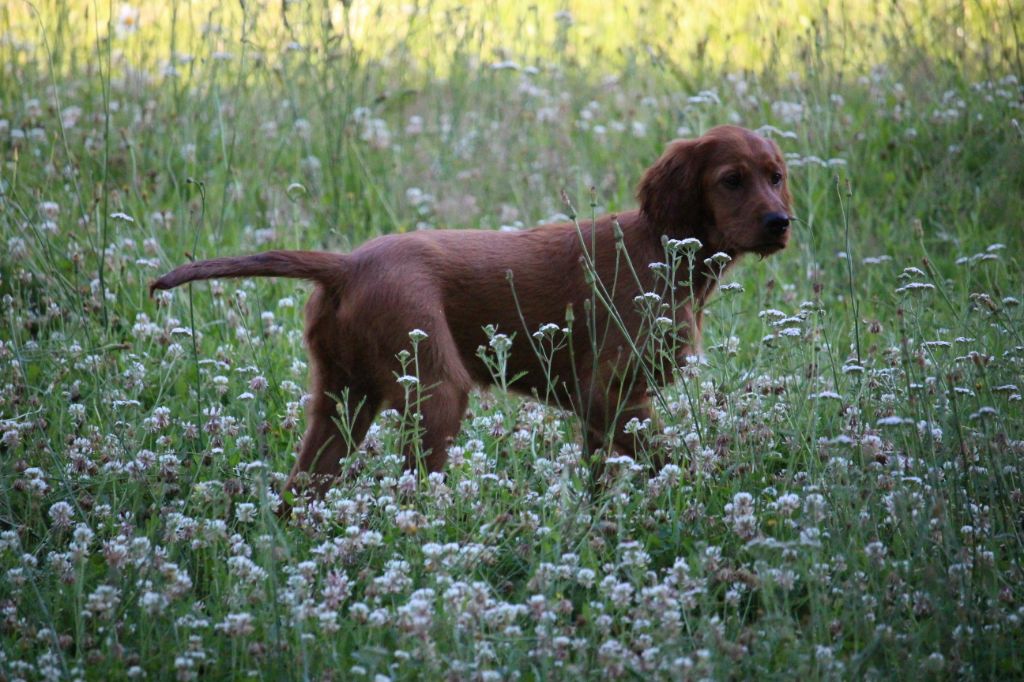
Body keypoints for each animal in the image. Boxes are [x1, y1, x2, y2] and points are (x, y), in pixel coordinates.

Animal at [151, 124, 790, 497]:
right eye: (731, 180)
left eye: (776, 177)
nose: (780, 222)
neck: (662, 246)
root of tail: (347, 264)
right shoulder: (611, 395)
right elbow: (662, 461)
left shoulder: (603, 408)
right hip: (436, 390)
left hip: (343, 400)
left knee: (302, 485)